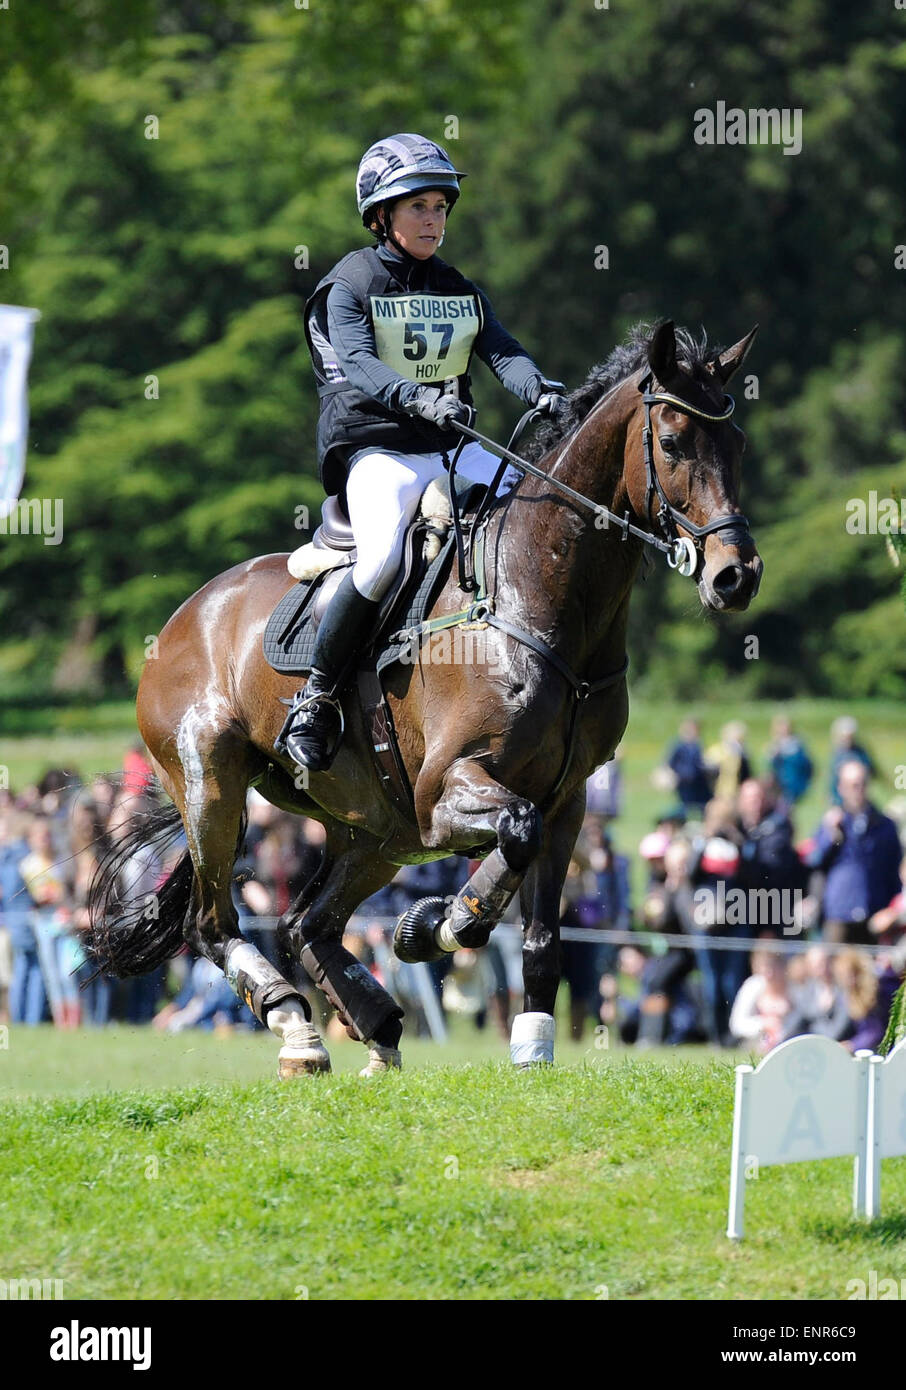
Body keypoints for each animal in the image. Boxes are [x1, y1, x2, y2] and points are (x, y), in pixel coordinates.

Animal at [86, 322, 767, 1073]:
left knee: (304, 923)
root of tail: (184, 616)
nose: (736, 577)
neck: (536, 599)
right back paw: (298, 1028)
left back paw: (378, 1026)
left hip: (376, 830)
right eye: (672, 442)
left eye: (737, 444)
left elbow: (541, 935)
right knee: (212, 924)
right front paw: (446, 922)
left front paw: (532, 1048)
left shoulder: (567, 799)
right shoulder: (445, 791)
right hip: (213, 784)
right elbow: (514, 834)